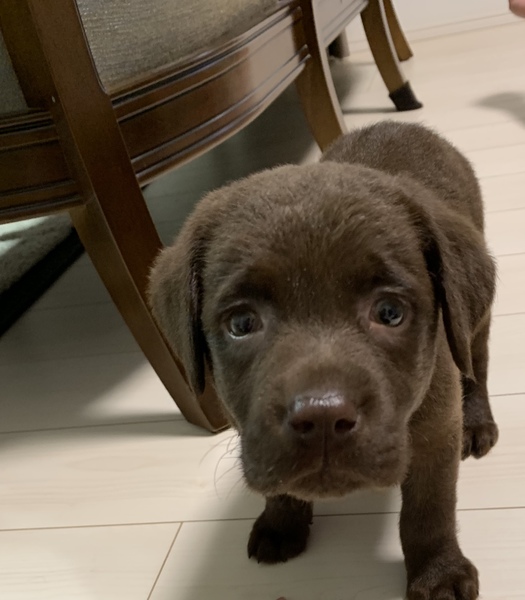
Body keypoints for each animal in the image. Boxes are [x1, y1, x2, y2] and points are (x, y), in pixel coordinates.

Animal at [148, 121, 499, 599]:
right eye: (241, 323)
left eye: (390, 313)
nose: (323, 419)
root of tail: (402, 124)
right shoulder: (253, 429)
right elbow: (276, 481)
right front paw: (281, 523)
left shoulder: (435, 432)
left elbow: (429, 511)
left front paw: (438, 572)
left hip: (472, 323)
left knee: (476, 365)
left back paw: (477, 422)